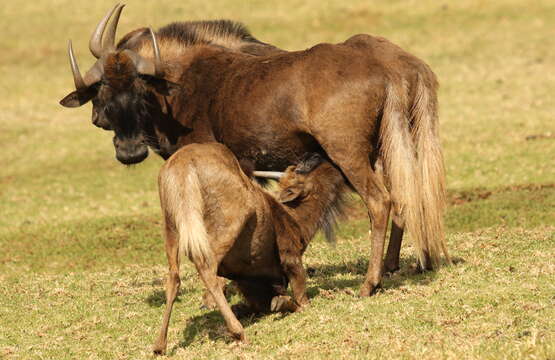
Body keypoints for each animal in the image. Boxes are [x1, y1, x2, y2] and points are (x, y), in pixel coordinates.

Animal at [153, 143, 348, 354]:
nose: (322, 157)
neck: (296, 221)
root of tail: (184, 165)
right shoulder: (291, 259)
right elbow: (301, 301)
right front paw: (283, 303)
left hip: (170, 226)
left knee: (174, 278)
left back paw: (159, 346)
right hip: (228, 223)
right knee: (207, 270)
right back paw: (238, 333)